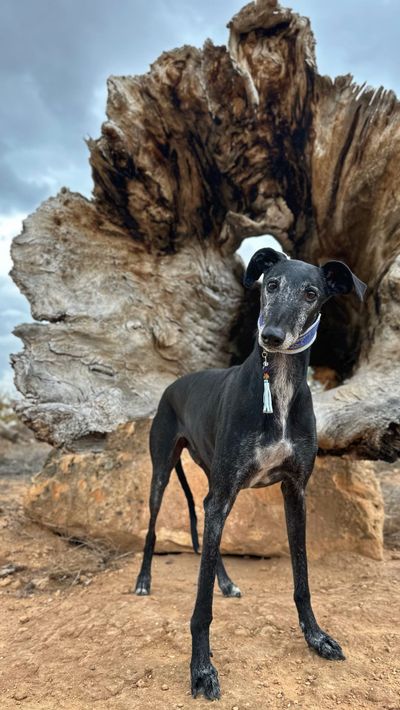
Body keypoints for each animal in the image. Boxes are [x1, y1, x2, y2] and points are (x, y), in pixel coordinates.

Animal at [134, 247, 366, 700]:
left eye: (311, 293)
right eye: (270, 284)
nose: (271, 337)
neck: (276, 386)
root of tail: (173, 385)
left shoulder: (295, 492)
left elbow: (302, 579)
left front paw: (316, 637)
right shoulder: (224, 493)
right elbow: (200, 607)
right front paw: (202, 670)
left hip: (215, 483)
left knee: (210, 536)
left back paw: (225, 582)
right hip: (164, 471)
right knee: (154, 526)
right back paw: (143, 581)